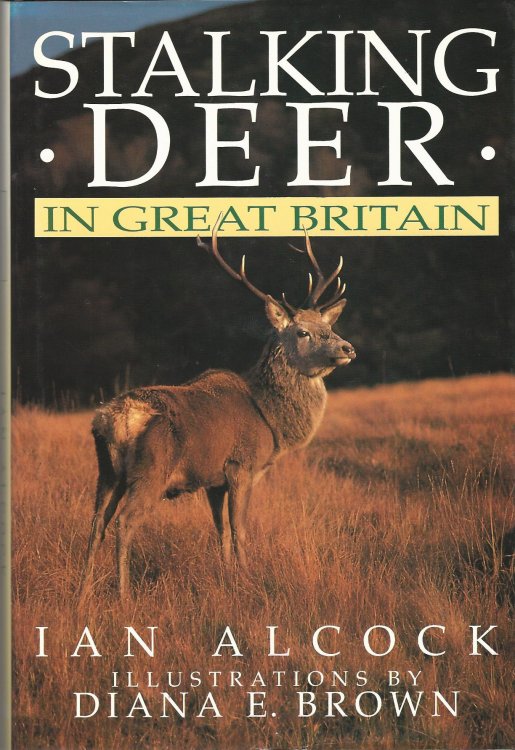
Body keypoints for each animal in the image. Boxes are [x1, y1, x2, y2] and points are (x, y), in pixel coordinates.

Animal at [79, 220, 356, 601]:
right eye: (303, 332)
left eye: (329, 327)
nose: (347, 348)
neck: (270, 420)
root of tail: (115, 419)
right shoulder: (242, 465)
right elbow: (239, 528)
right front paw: (247, 576)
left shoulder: (213, 479)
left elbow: (220, 528)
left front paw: (227, 574)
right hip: (151, 471)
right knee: (124, 521)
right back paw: (123, 597)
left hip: (107, 472)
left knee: (96, 523)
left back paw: (82, 597)